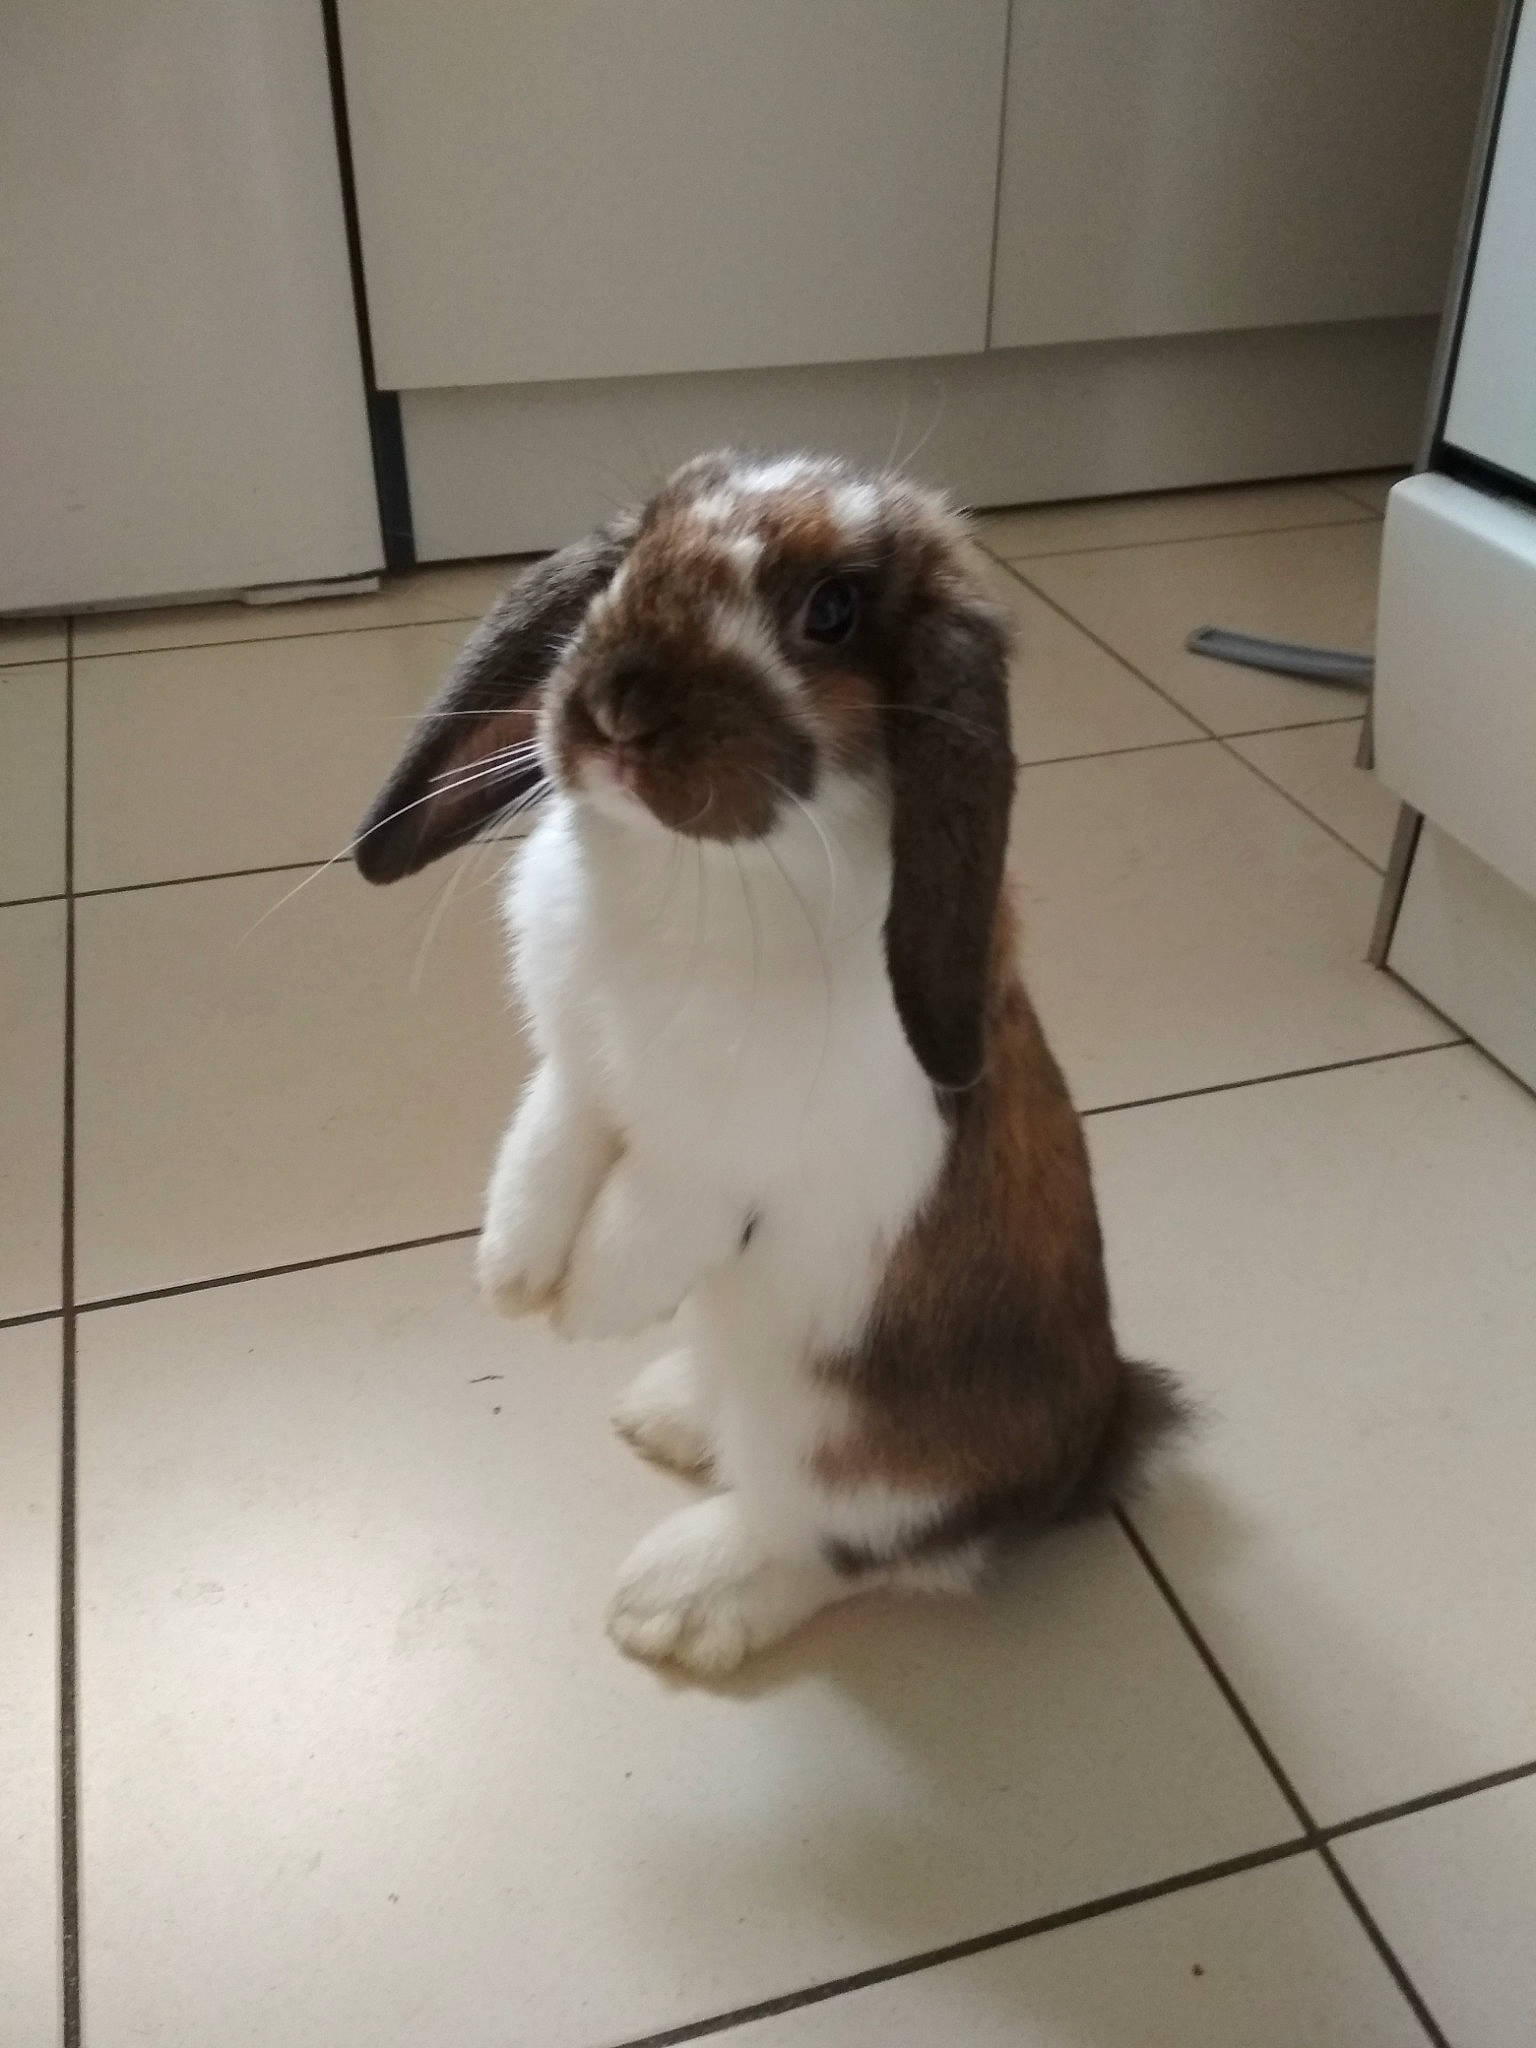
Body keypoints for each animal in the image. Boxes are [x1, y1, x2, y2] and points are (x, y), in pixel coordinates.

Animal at [356, 451, 1184, 1677]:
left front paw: (583, 1309)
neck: (684, 875)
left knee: (850, 1547)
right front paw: (510, 1276)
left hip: (841, 1444)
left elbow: (642, 1223)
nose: (616, 707)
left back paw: (678, 1597)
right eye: (632, 554)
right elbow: (545, 1153)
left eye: (831, 611)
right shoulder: (575, 1072)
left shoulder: (721, 1165)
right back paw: (669, 1411)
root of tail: (1089, 1453)